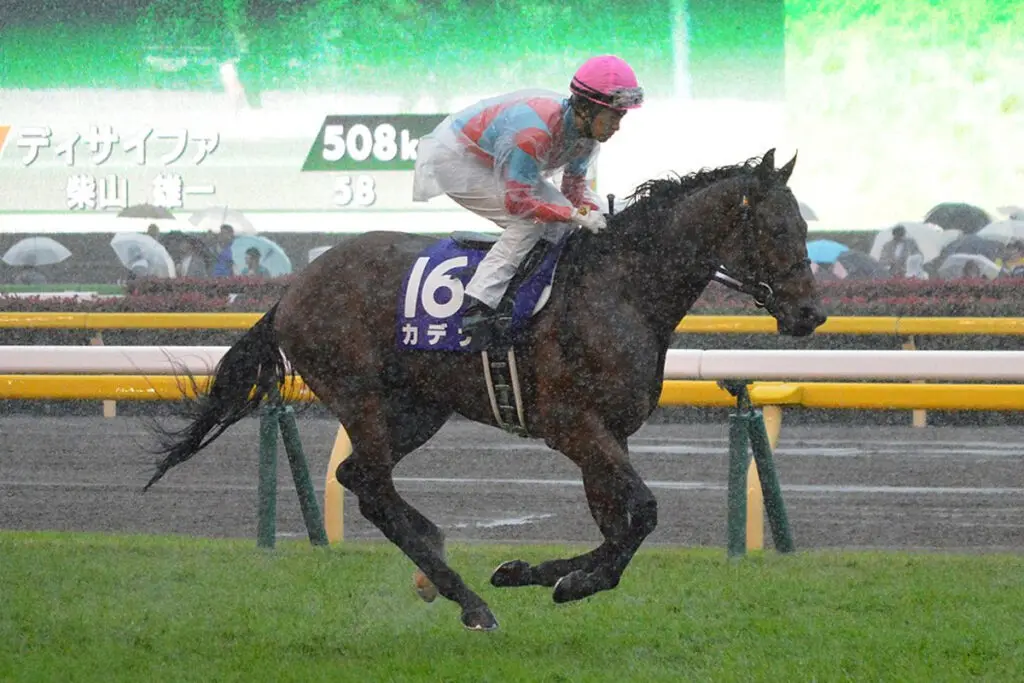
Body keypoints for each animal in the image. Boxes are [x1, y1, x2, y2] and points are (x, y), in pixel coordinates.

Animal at [145, 148, 826, 632]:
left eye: (801, 225)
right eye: (776, 229)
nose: (810, 314)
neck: (621, 288)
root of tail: (292, 290)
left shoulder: (608, 434)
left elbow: (619, 527)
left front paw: (537, 574)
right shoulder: (572, 426)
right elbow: (644, 513)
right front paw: (560, 581)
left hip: (418, 408)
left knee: (358, 478)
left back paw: (445, 570)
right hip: (362, 396)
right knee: (371, 488)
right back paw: (463, 596)